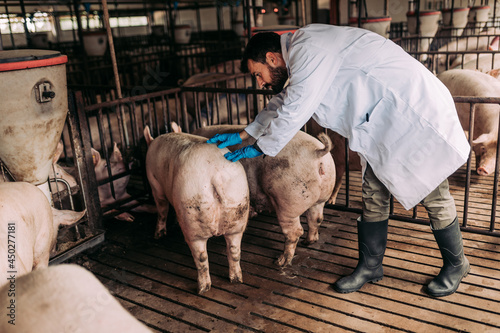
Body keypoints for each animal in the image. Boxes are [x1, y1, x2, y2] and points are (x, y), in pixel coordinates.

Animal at [145, 126, 250, 292]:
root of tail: (215, 174)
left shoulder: (155, 183)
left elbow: (162, 209)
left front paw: (158, 235)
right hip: (238, 208)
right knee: (234, 250)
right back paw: (236, 279)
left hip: (192, 214)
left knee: (201, 256)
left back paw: (202, 288)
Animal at [195, 126, 336, 266]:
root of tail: (317, 153)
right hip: (321, 198)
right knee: (316, 219)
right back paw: (308, 242)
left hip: (288, 202)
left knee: (295, 232)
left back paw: (280, 262)